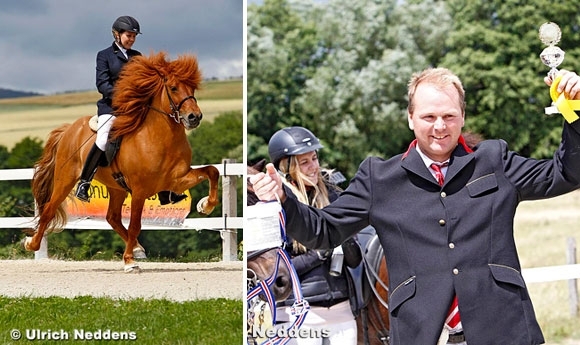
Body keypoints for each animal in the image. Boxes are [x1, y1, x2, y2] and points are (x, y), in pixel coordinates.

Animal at [22, 51, 220, 272]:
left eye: (192, 88)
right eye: (173, 88)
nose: (194, 117)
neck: (160, 138)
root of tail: (69, 129)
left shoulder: (176, 180)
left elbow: (213, 171)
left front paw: (206, 205)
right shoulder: (140, 191)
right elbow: (135, 225)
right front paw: (129, 262)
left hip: (116, 187)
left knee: (112, 218)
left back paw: (137, 248)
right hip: (65, 179)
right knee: (49, 209)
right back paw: (31, 243)